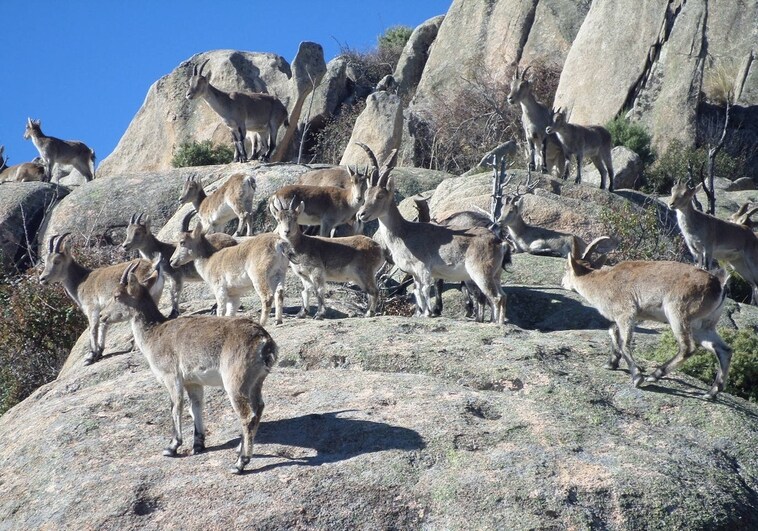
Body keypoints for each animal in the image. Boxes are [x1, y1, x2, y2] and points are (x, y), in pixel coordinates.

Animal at [39, 233, 164, 366]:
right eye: (46, 261)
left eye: (57, 261)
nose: (42, 279)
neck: (80, 282)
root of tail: (153, 266)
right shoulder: (103, 309)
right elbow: (104, 324)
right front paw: (99, 351)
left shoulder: (92, 308)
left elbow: (93, 328)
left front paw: (90, 356)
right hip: (156, 295)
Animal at [102, 264, 276, 476]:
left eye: (117, 295)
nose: (102, 316)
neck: (154, 334)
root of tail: (265, 341)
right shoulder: (193, 382)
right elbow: (196, 406)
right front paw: (198, 444)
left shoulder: (171, 377)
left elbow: (175, 406)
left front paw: (171, 447)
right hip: (255, 382)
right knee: (258, 408)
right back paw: (240, 448)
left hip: (235, 382)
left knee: (247, 415)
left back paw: (240, 463)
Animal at [356, 143, 510, 322]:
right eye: (366, 194)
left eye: (380, 195)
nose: (361, 214)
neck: (404, 233)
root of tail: (499, 242)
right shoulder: (415, 273)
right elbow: (417, 291)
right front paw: (422, 313)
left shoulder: (423, 269)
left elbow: (424, 290)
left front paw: (429, 313)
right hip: (495, 274)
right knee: (502, 296)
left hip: (480, 272)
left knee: (495, 297)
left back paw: (494, 323)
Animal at [564, 241, 736, 400]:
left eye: (566, 268)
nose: (562, 282)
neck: (602, 282)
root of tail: (719, 286)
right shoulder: (633, 316)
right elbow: (613, 331)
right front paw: (611, 363)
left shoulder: (626, 312)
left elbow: (624, 343)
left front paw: (636, 376)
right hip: (703, 326)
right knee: (724, 350)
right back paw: (711, 392)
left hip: (678, 313)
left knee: (688, 348)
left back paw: (654, 375)